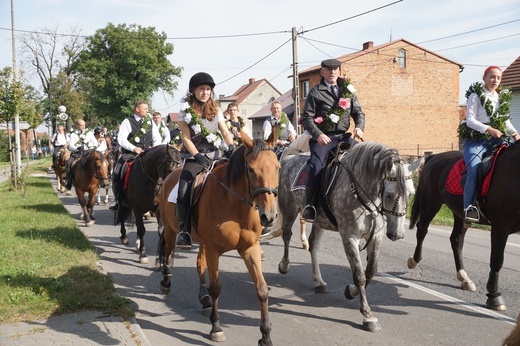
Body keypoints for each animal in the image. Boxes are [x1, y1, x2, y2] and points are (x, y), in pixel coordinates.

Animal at [158, 131, 280, 344]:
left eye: (278, 167)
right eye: (251, 169)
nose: (269, 216)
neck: (236, 206)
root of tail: (171, 175)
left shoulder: (250, 248)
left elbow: (262, 289)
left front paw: (265, 335)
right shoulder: (214, 250)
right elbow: (216, 287)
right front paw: (216, 327)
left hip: (202, 242)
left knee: (200, 264)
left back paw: (204, 300)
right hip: (172, 231)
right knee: (169, 251)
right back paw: (166, 282)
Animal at [266, 141, 420, 332]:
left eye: (411, 194)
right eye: (389, 194)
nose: (397, 234)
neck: (361, 192)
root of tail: (289, 159)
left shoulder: (376, 236)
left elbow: (371, 271)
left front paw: (351, 291)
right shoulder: (349, 237)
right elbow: (359, 274)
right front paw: (368, 315)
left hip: (320, 220)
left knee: (313, 245)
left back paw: (319, 282)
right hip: (290, 209)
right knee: (287, 235)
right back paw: (284, 265)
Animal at [408, 141, 520, 310]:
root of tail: (434, 158)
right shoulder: (500, 227)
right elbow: (496, 260)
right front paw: (494, 297)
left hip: (459, 214)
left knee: (456, 240)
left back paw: (464, 278)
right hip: (431, 204)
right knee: (422, 230)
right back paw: (414, 260)